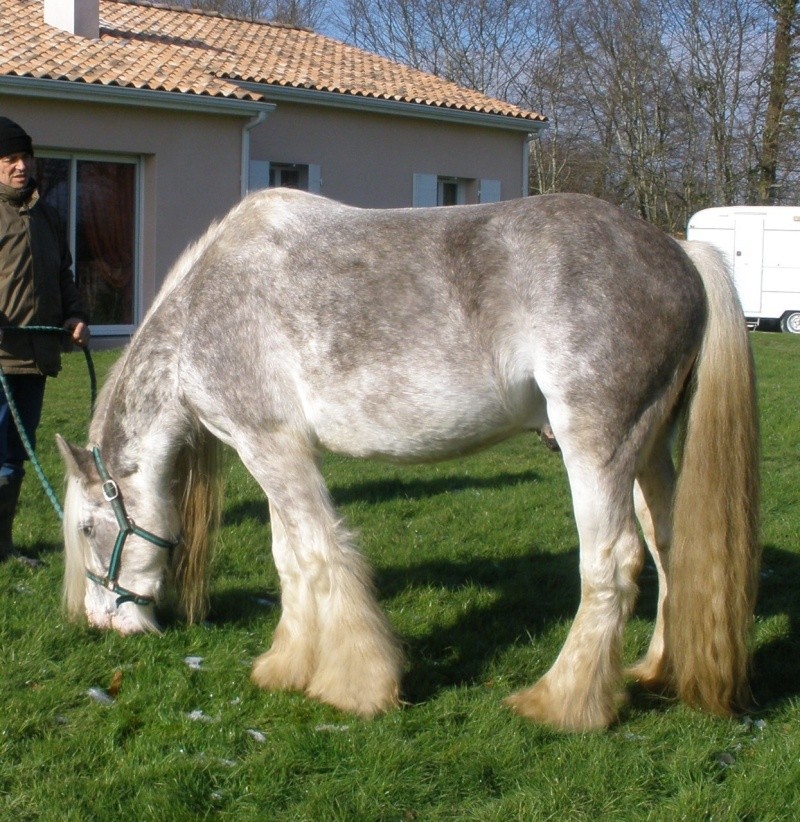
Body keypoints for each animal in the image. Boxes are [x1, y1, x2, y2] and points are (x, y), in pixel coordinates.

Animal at [59, 193, 760, 732]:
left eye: (89, 528)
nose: (101, 623)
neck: (200, 315)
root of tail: (680, 254)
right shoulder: (274, 451)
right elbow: (293, 560)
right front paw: (286, 667)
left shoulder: (270, 445)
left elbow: (323, 554)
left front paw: (358, 686)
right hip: (651, 447)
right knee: (672, 548)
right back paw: (658, 669)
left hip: (597, 445)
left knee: (612, 563)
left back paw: (561, 703)